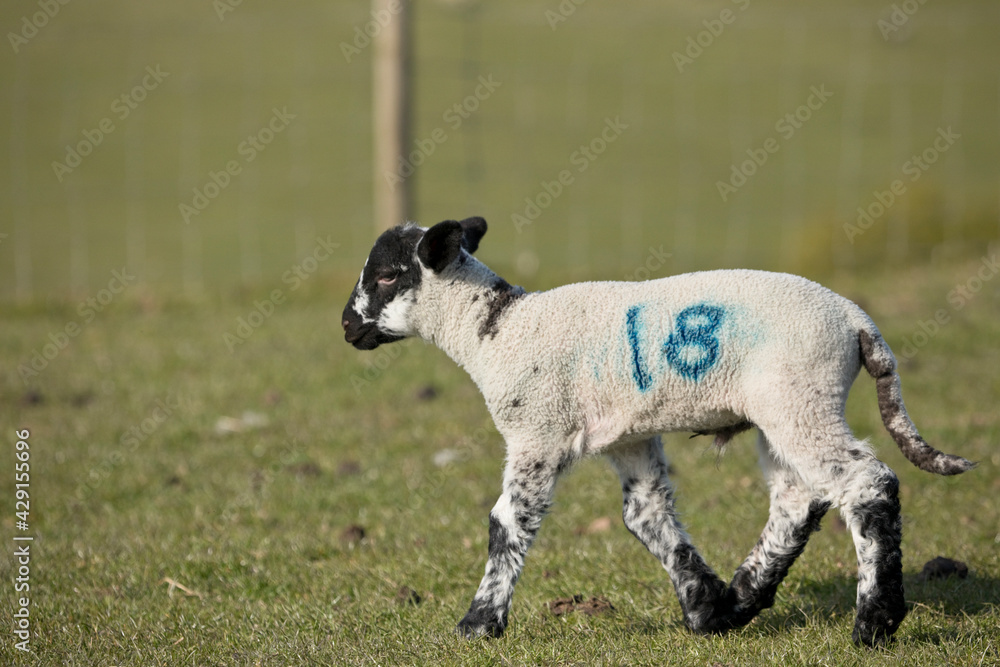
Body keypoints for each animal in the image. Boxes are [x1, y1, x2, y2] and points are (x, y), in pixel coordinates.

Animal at [340, 218, 972, 648]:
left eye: (389, 274)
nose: (347, 326)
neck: (495, 331)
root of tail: (857, 322)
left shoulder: (536, 431)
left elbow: (507, 522)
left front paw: (478, 624)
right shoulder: (628, 437)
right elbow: (645, 515)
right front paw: (704, 609)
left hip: (800, 398)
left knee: (866, 483)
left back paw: (874, 623)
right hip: (788, 410)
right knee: (798, 496)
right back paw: (742, 599)